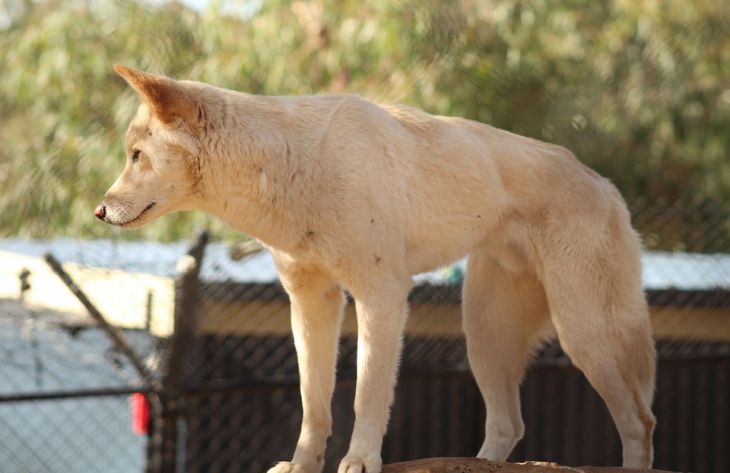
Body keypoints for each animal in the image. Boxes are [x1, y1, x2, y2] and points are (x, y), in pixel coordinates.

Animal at [95, 64, 656, 470]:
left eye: (136, 156)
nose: (99, 211)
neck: (292, 166)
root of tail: (607, 186)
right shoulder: (312, 302)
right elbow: (313, 404)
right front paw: (302, 465)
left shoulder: (381, 294)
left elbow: (366, 396)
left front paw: (361, 460)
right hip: (485, 336)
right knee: (508, 424)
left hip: (584, 334)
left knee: (639, 421)